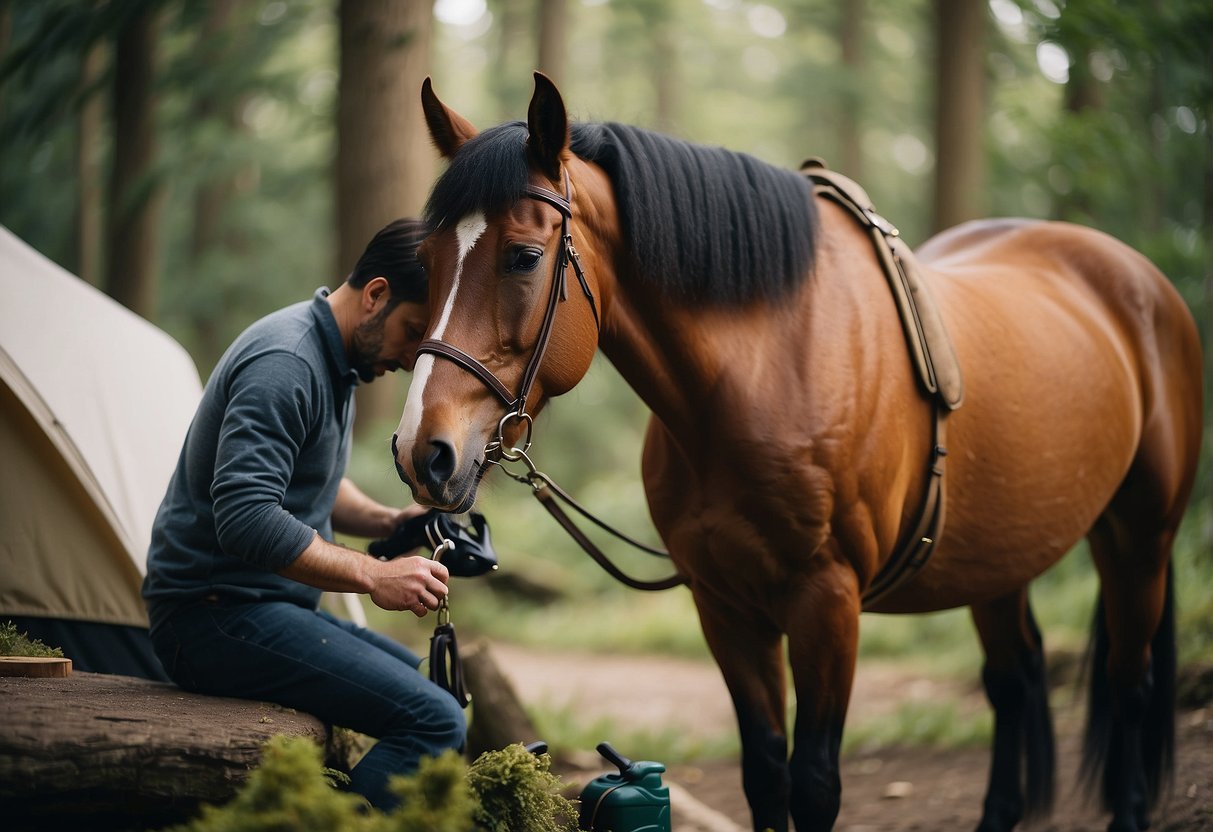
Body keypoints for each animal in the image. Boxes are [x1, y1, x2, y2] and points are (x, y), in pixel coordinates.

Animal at [390, 73, 1203, 832]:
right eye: (426, 261)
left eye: (524, 257)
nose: (422, 452)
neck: (763, 376)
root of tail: (1142, 285)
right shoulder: (725, 607)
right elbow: (765, 771)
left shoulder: (827, 603)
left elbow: (814, 783)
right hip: (999, 557)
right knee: (1014, 680)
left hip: (1139, 538)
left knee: (1129, 683)